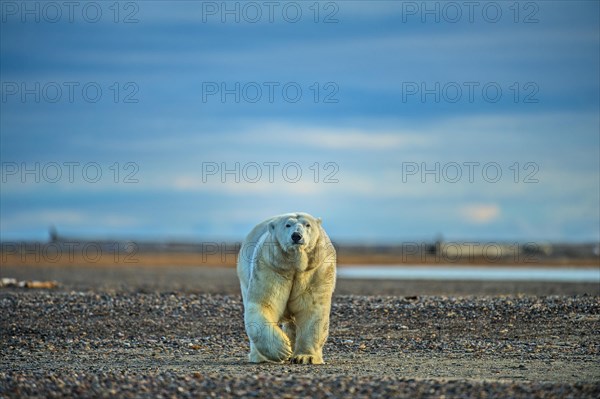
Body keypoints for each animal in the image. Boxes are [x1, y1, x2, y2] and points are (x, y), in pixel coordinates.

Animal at [236, 212, 338, 366]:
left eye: (307, 225)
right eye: (287, 225)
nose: (296, 236)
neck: (295, 264)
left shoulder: (316, 269)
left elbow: (312, 308)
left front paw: (305, 357)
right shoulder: (271, 266)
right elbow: (264, 304)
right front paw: (283, 349)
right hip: (245, 274)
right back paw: (259, 357)